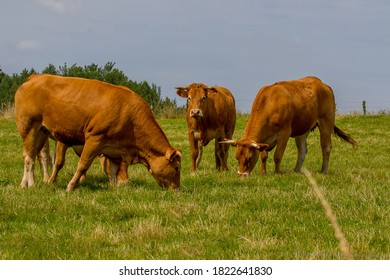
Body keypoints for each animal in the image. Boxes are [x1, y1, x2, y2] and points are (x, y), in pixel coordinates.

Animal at [13, 73, 181, 191]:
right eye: (177, 168)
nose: (177, 189)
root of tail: (35, 77)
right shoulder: (94, 139)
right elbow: (82, 164)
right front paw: (70, 186)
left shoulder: (115, 149)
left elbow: (113, 170)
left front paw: (114, 188)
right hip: (29, 128)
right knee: (29, 158)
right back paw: (31, 184)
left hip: (41, 133)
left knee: (31, 155)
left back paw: (25, 183)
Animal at [219, 76, 356, 175]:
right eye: (237, 157)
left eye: (249, 157)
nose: (241, 174)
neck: (269, 103)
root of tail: (322, 84)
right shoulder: (264, 139)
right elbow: (263, 155)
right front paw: (263, 172)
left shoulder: (284, 132)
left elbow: (277, 155)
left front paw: (277, 173)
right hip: (303, 128)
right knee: (302, 150)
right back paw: (296, 170)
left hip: (326, 122)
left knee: (326, 147)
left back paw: (323, 170)